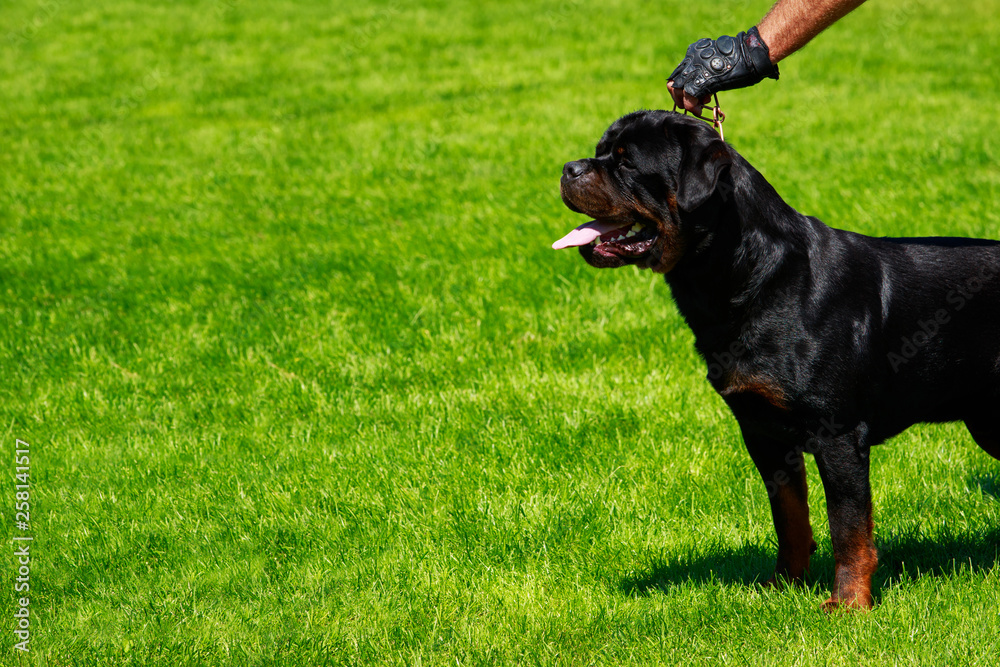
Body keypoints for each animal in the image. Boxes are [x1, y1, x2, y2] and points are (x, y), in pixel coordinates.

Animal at [556, 109, 1000, 612]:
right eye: (599, 152)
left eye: (627, 162)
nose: (570, 168)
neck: (752, 278)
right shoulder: (762, 432)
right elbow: (788, 517)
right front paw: (783, 585)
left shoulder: (838, 433)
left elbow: (848, 525)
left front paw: (848, 603)